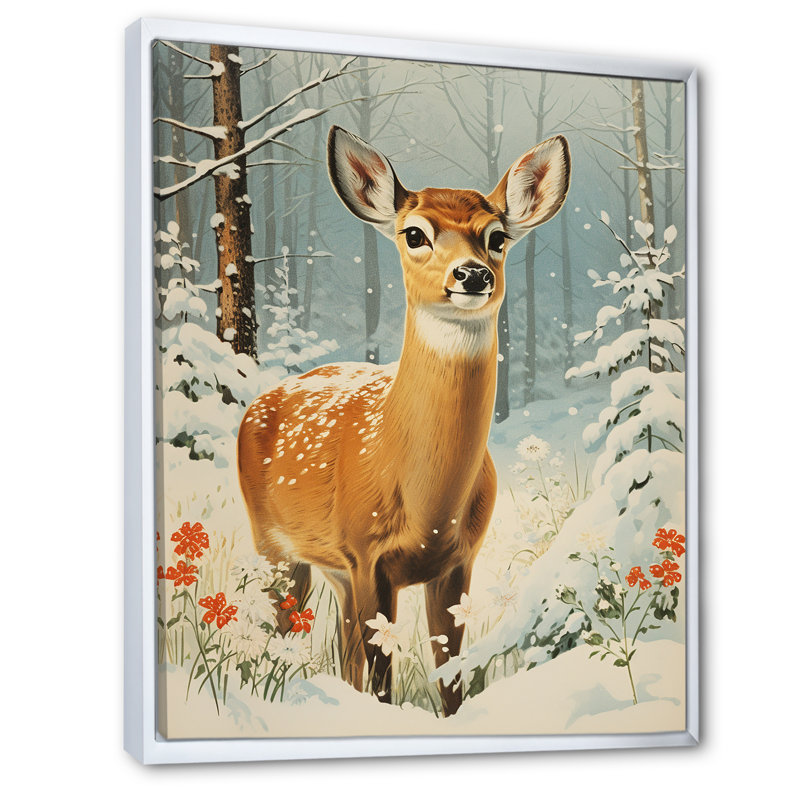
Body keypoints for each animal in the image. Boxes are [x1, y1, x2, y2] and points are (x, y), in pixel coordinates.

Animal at [237, 125, 570, 716]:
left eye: (497, 238)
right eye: (414, 234)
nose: (472, 274)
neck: (426, 507)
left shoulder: (456, 563)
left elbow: (450, 676)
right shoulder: (366, 554)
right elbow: (381, 680)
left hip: (334, 572)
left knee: (340, 650)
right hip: (274, 546)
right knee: (278, 633)